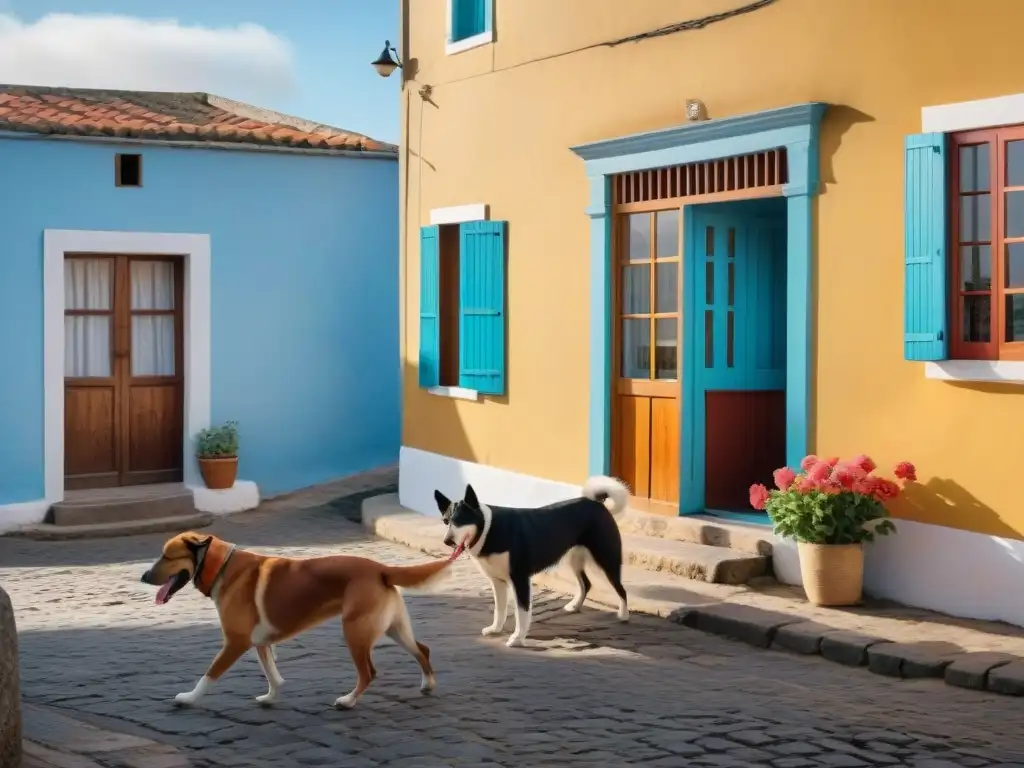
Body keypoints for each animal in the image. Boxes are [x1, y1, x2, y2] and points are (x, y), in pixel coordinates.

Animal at [140, 536, 460, 708]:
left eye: (167, 556)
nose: (142, 576)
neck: (221, 567)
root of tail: (381, 568)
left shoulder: (234, 644)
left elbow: (208, 676)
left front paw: (189, 698)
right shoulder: (260, 643)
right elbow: (272, 674)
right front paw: (270, 697)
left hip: (354, 632)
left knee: (369, 672)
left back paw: (348, 701)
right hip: (395, 629)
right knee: (422, 650)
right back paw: (428, 684)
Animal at [430, 475, 626, 651]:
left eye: (461, 521)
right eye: (446, 521)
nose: (447, 541)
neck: (488, 529)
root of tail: (596, 503)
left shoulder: (520, 580)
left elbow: (522, 613)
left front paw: (517, 639)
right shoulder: (497, 582)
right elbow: (499, 609)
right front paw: (496, 629)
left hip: (606, 559)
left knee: (620, 589)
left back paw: (623, 615)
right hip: (574, 559)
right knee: (586, 583)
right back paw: (575, 605)